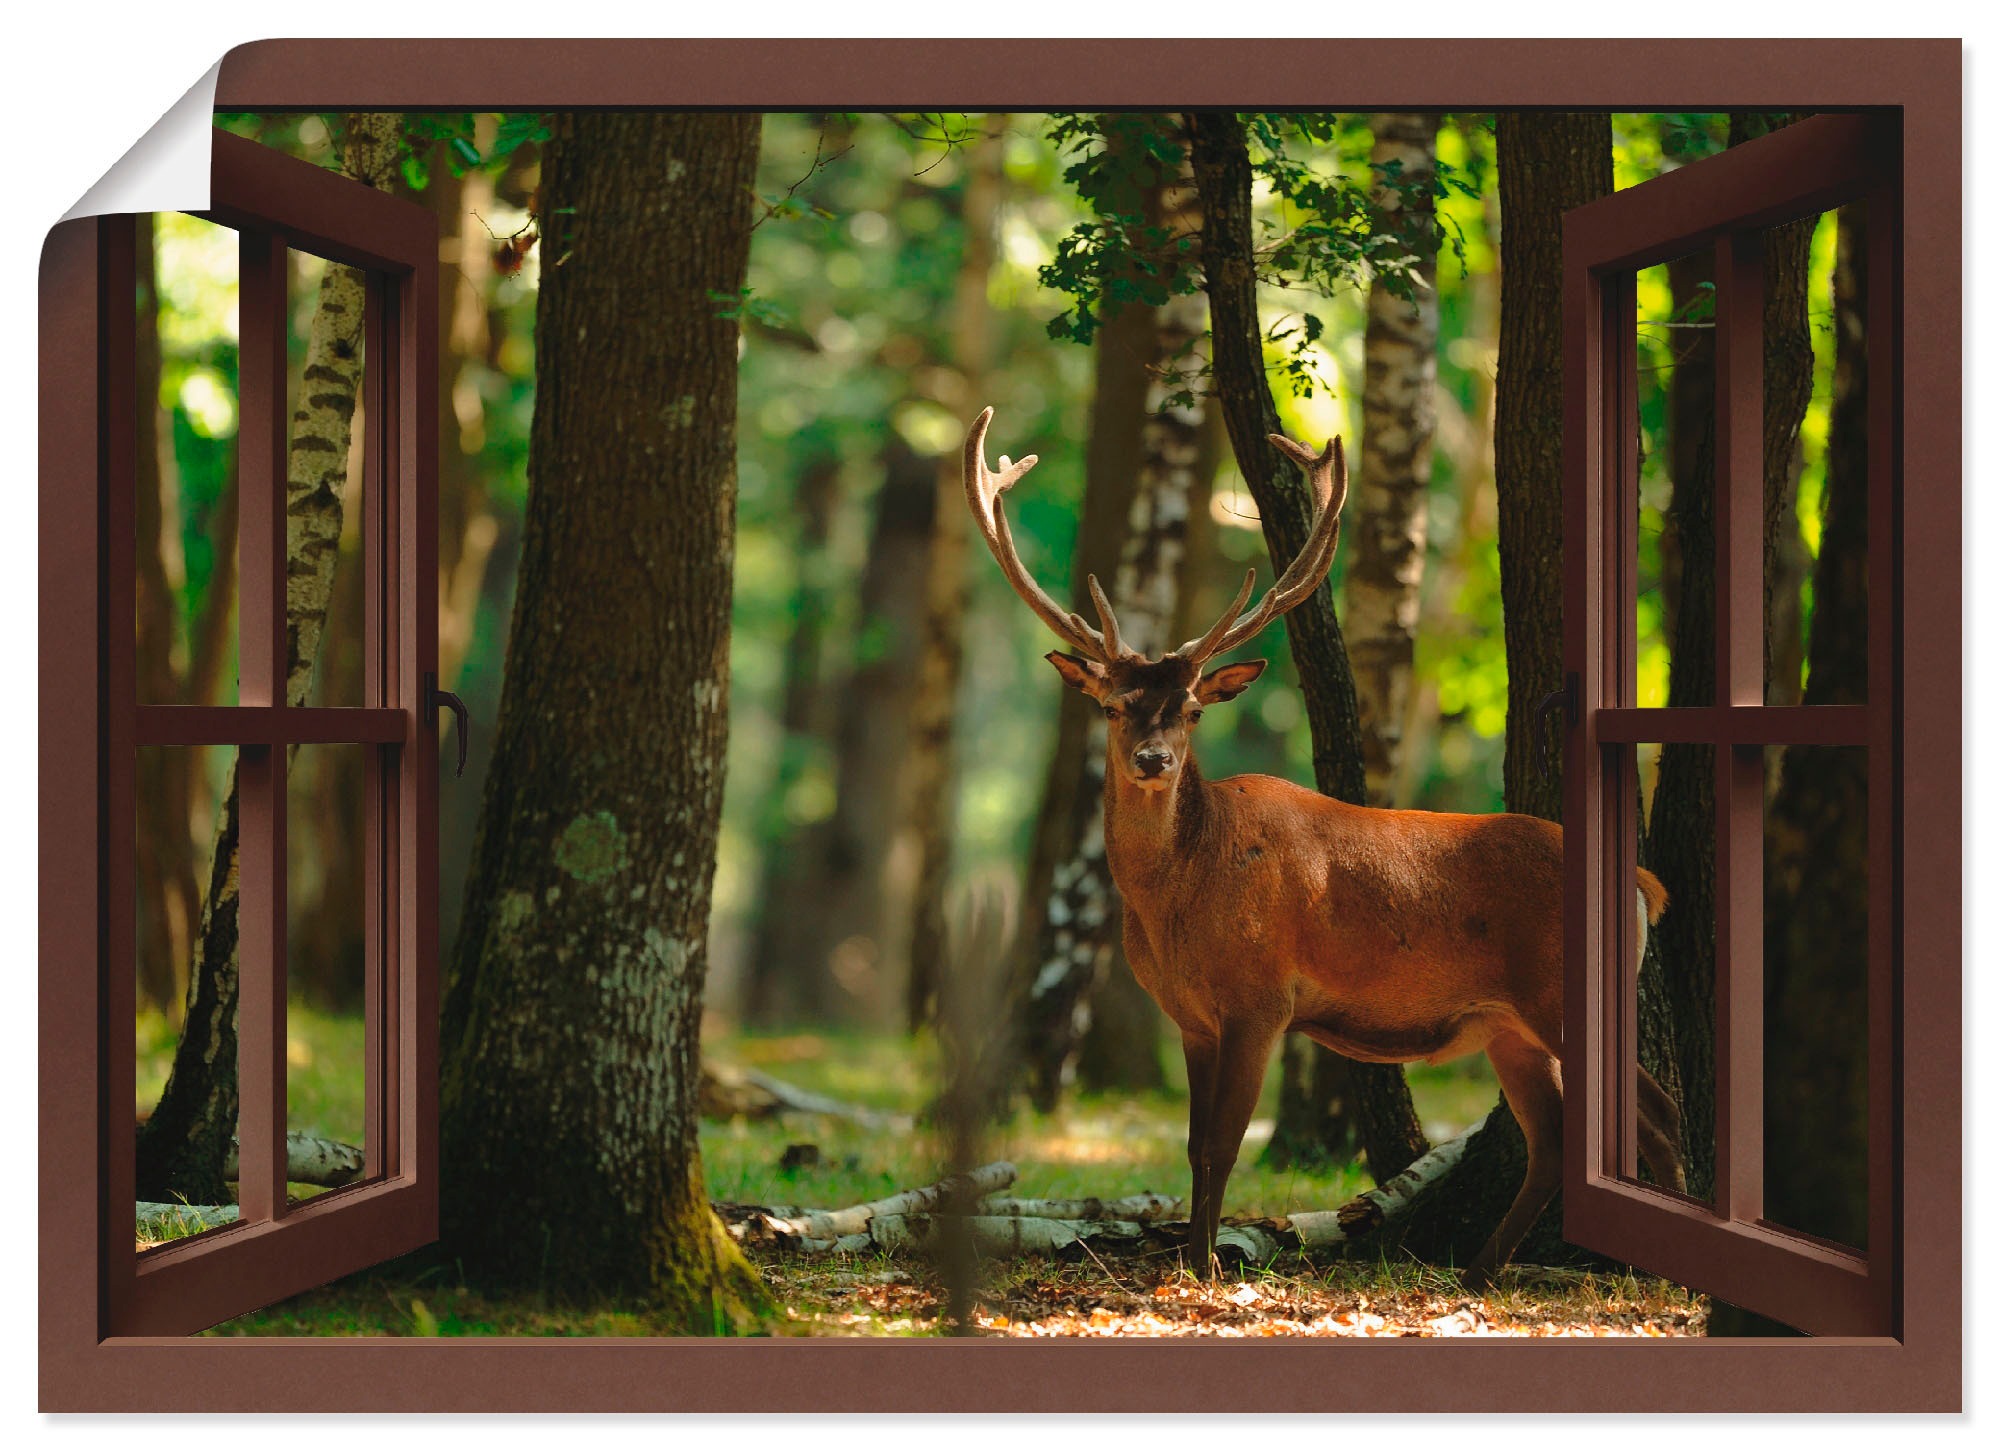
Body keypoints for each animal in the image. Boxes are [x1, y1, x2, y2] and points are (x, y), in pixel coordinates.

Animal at [964, 406, 1683, 1288]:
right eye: (1112, 705)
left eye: (1193, 709)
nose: (1154, 759)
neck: (1179, 895)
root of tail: (1647, 882)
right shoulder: (1192, 1018)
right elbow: (1195, 1146)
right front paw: (1194, 1259)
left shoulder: (1261, 997)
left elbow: (1224, 1144)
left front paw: (1205, 1268)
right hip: (1507, 1023)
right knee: (1551, 1137)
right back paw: (1480, 1269)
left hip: (1558, 990)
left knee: (1657, 1112)